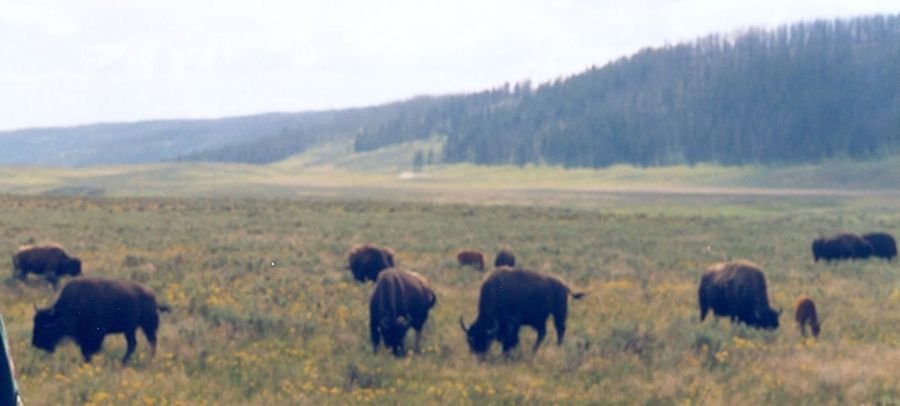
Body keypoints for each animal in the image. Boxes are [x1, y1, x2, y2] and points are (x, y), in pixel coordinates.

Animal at [32, 278, 171, 364]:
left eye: (44, 326)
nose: (35, 343)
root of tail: (152, 296)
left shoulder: (96, 334)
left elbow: (91, 350)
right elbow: (85, 351)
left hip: (147, 326)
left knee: (151, 341)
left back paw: (149, 360)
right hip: (129, 329)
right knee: (133, 343)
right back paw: (123, 362)